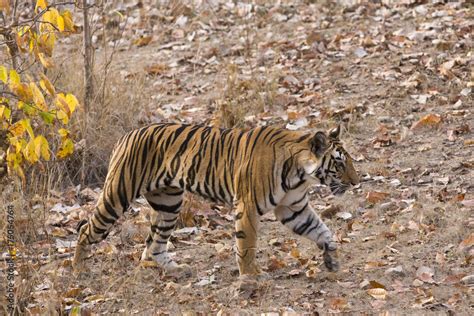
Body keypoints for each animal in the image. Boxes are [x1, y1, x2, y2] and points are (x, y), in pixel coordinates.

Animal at [72, 122, 358, 278]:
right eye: (339, 163)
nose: (358, 182)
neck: (300, 174)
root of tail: (126, 135)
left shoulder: (292, 208)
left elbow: (322, 230)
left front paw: (332, 260)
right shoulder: (248, 206)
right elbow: (246, 245)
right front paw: (250, 277)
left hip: (169, 204)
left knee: (154, 244)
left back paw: (177, 269)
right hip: (117, 196)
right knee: (87, 230)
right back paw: (80, 270)